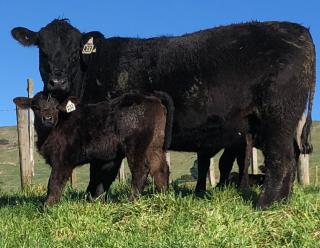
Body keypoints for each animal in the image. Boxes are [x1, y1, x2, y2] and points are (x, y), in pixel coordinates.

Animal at [13, 92, 172, 206]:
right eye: (35, 107)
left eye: (56, 107)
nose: (47, 118)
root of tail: (152, 98)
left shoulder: (63, 159)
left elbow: (54, 182)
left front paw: (47, 207)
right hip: (155, 144)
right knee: (160, 168)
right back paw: (163, 197)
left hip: (136, 144)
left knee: (141, 170)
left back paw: (131, 201)